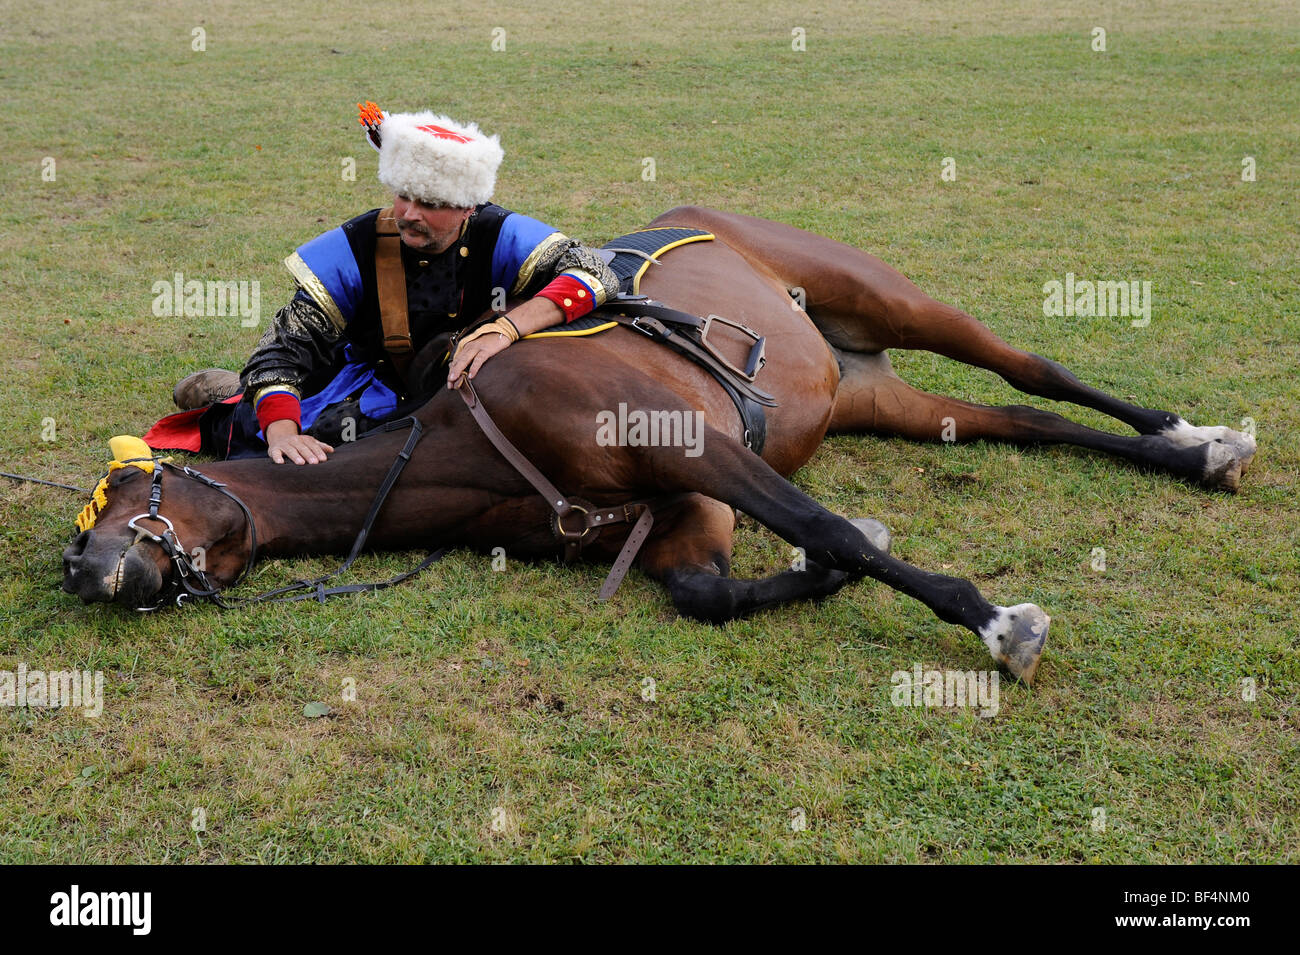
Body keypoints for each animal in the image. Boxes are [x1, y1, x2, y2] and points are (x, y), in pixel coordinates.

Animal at [61, 207, 1258, 686]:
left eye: (119, 493)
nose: (81, 570)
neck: (465, 438)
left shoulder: (695, 452)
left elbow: (826, 524)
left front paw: (1000, 623)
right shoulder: (683, 514)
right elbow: (714, 592)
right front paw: (826, 568)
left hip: (889, 297)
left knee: (1034, 372)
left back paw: (1192, 434)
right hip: (871, 393)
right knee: (1028, 421)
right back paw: (1188, 455)